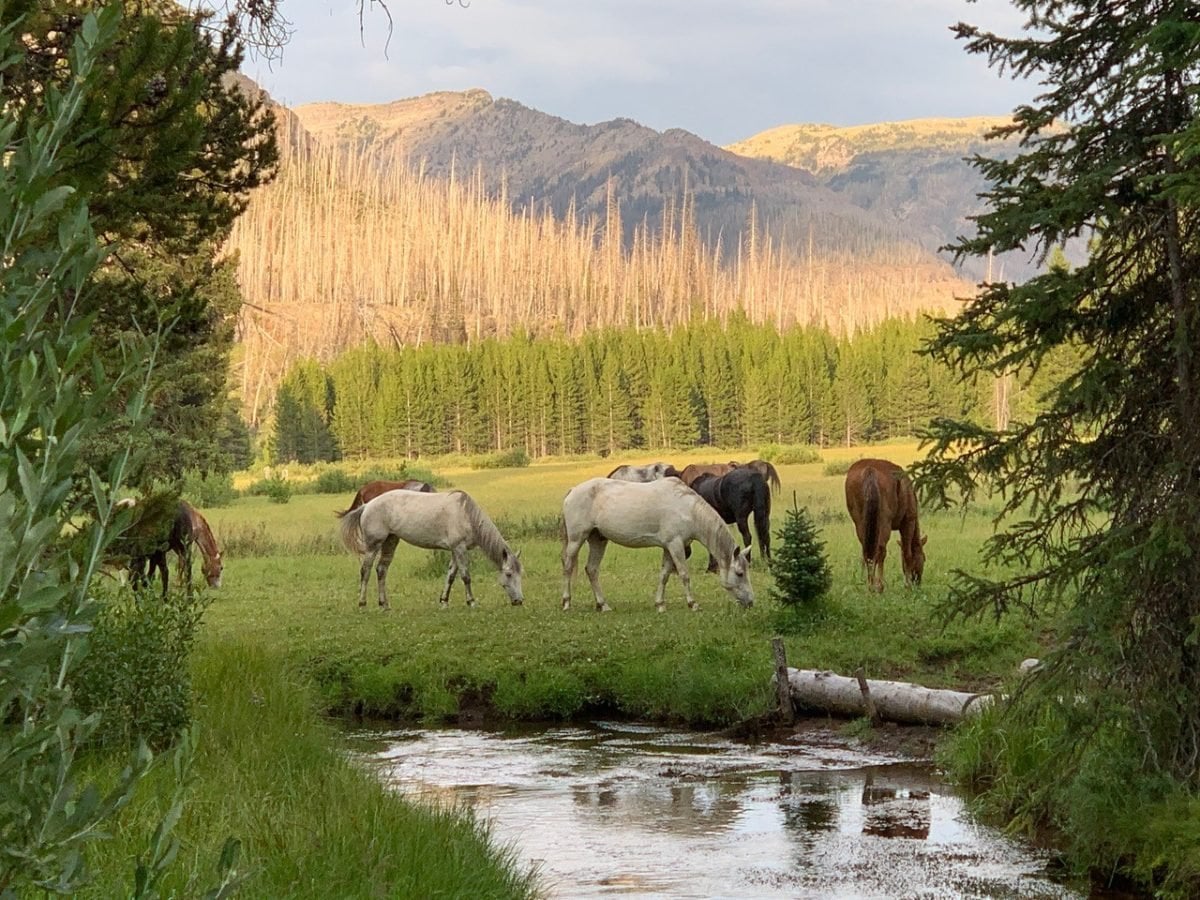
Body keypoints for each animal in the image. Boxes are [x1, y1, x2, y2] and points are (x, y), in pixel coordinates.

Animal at [339, 489, 524, 610]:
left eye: (520, 574)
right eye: (508, 574)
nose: (519, 601)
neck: (466, 514)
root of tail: (367, 506)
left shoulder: (455, 550)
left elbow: (451, 576)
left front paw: (444, 601)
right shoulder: (459, 548)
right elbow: (465, 576)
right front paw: (471, 601)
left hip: (390, 541)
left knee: (381, 570)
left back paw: (384, 604)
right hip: (373, 545)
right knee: (366, 571)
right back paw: (362, 604)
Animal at [560, 477, 754, 612]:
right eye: (740, 573)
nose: (751, 602)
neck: (687, 509)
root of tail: (572, 491)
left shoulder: (669, 547)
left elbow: (664, 575)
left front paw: (660, 604)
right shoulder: (675, 545)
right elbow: (684, 574)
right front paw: (693, 604)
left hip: (598, 539)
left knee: (592, 570)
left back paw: (603, 605)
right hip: (577, 539)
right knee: (568, 566)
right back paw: (566, 602)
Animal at [844, 458, 926, 592]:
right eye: (924, 557)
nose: (918, 581)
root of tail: (870, 470)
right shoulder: (908, 521)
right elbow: (907, 554)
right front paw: (907, 586)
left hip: (860, 522)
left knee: (868, 552)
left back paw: (870, 586)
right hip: (884, 522)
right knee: (880, 551)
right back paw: (879, 586)